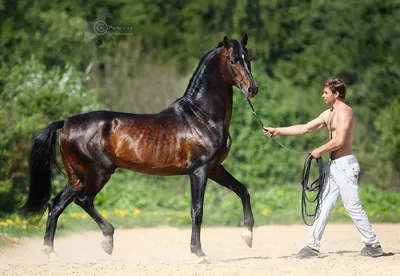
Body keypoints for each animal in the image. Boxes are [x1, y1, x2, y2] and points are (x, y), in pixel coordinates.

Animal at [21, 34, 260, 264]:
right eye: (232, 60)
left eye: (249, 58)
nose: (252, 89)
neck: (202, 116)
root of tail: (67, 123)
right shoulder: (199, 171)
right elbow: (197, 210)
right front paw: (199, 253)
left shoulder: (214, 168)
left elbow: (243, 191)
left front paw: (247, 237)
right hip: (98, 173)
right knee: (83, 200)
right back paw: (107, 240)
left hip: (77, 177)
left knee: (56, 205)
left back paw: (51, 253)